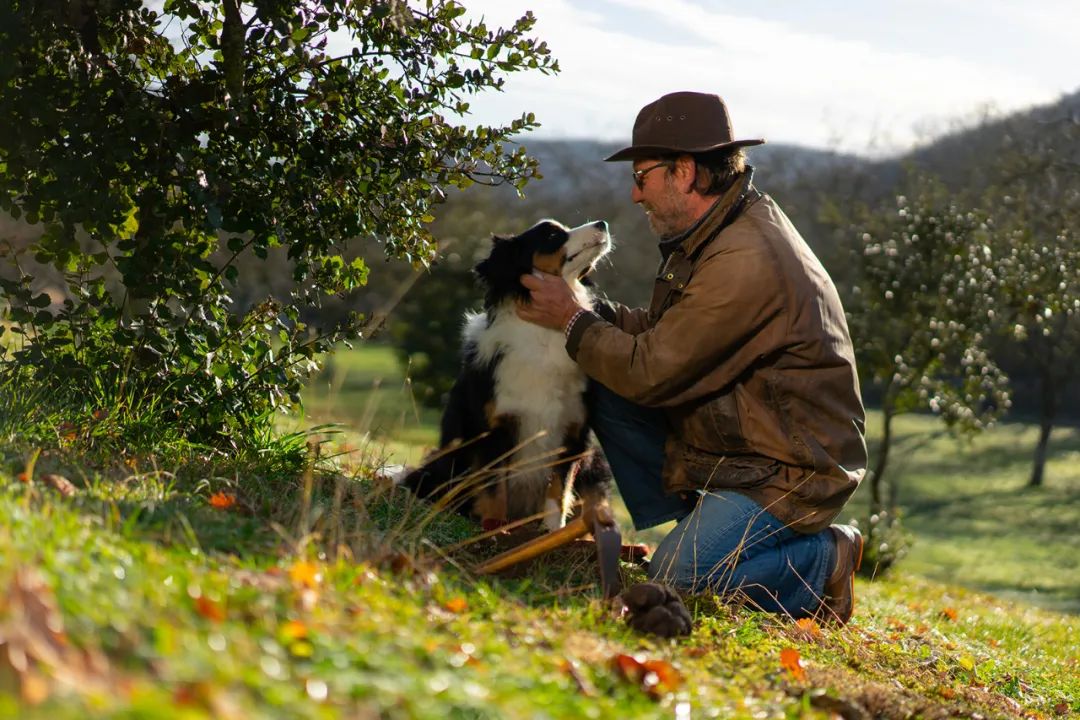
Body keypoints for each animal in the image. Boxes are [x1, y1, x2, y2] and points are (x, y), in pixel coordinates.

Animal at [397, 222, 617, 533]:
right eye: (551, 234)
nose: (602, 224)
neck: (543, 335)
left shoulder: (573, 432)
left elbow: (559, 490)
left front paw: (552, 531)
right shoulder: (495, 427)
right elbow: (494, 488)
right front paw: (494, 527)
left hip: (595, 462)